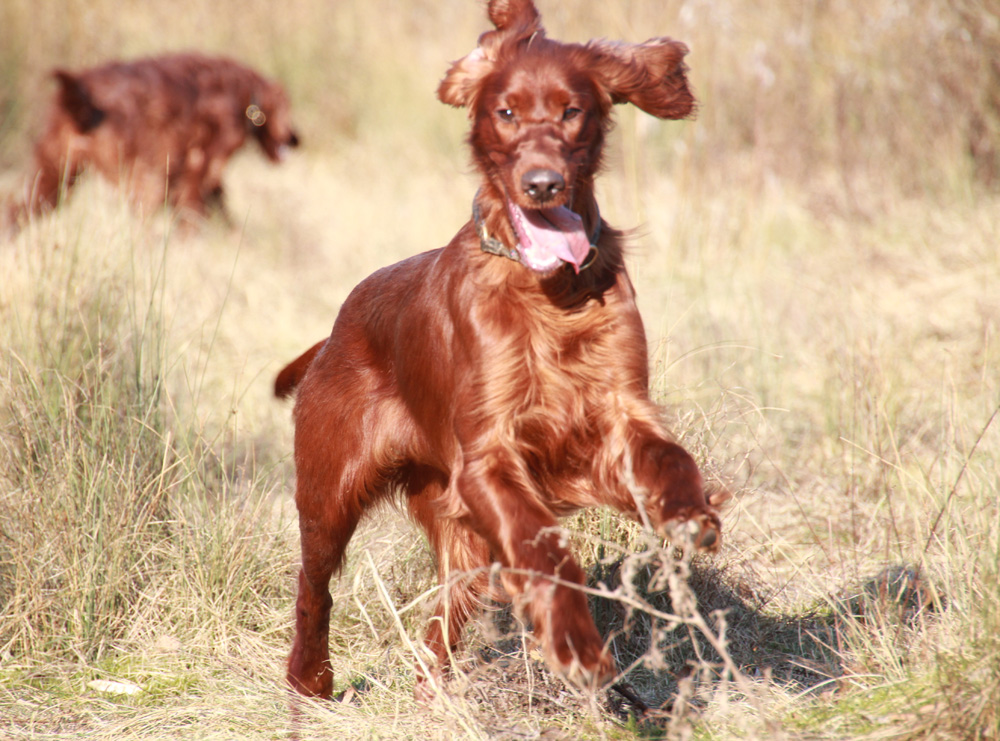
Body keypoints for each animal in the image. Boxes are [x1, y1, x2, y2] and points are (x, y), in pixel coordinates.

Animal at [278, 0, 724, 696]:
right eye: (506, 112)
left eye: (572, 110)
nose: (542, 184)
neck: (549, 291)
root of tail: (335, 330)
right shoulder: (489, 457)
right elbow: (543, 551)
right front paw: (576, 643)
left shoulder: (617, 416)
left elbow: (671, 457)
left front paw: (689, 512)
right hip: (330, 488)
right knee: (314, 582)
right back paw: (311, 680)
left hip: (455, 530)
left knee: (446, 615)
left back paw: (432, 692)